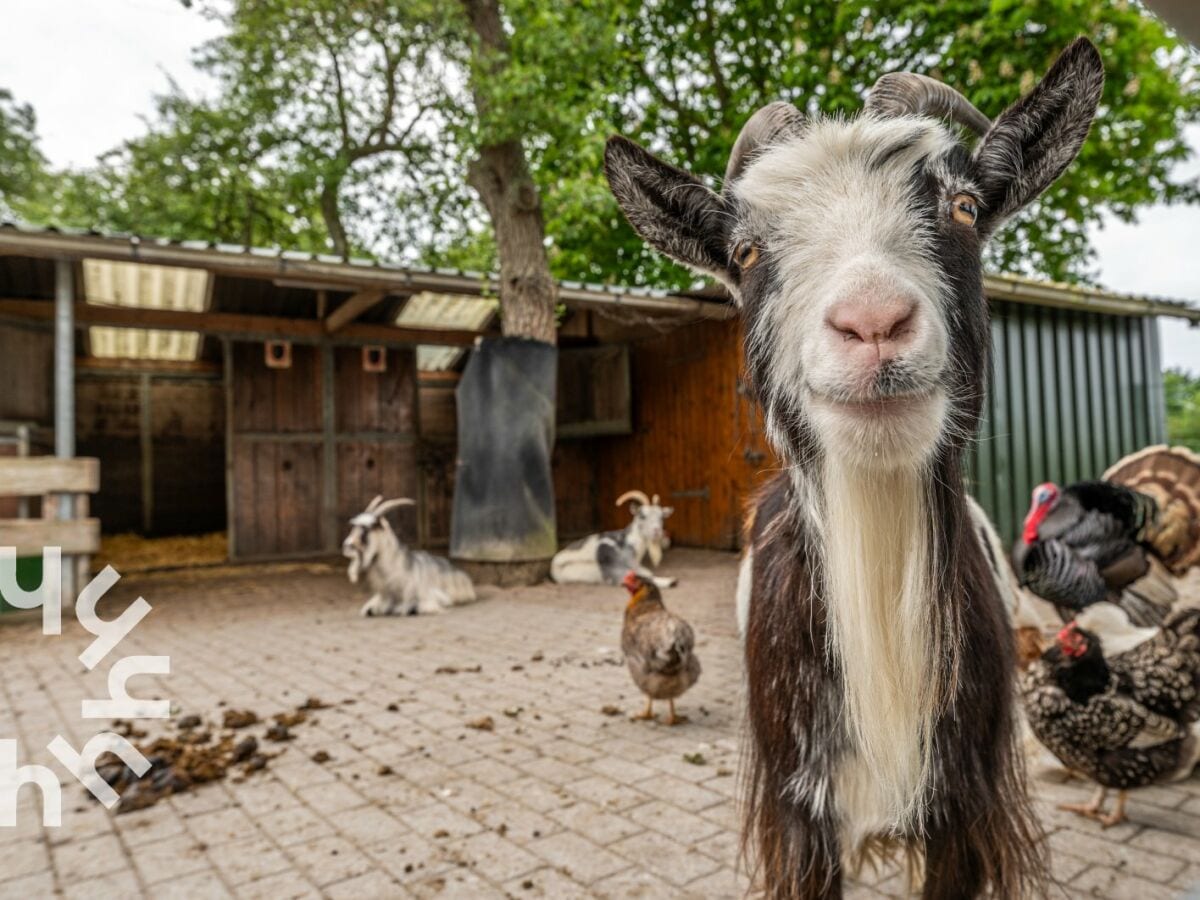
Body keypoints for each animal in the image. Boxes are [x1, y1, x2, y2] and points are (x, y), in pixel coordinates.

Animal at [340, 496, 475, 619]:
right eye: (355, 526)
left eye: (367, 528)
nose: (347, 546)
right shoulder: (374, 602)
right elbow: (368, 611)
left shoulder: (429, 599)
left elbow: (410, 609)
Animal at [549, 489, 681, 588]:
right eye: (642, 516)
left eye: (661, 517)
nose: (657, 530)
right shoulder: (615, 572)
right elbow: (643, 576)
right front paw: (671, 581)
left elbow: (646, 573)